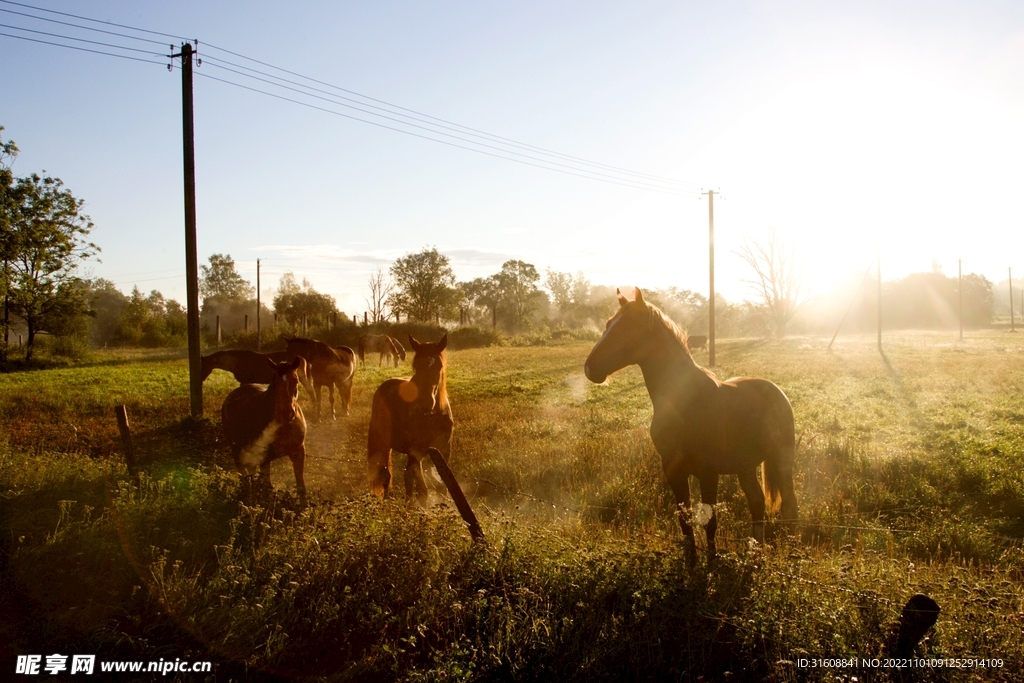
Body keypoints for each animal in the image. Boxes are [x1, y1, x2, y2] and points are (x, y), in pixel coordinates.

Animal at [221, 358, 307, 501]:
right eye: (275, 382)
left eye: (296, 380)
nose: (287, 413)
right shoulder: (265, 457)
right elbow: (267, 486)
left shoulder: (298, 452)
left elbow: (301, 487)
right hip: (237, 449)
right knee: (244, 475)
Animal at [366, 333, 450, 505]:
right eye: (416, 366)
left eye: (439, 366)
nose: (426, 403)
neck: (432, 417)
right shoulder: (416, 452)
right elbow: (423, 490)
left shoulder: (444, 451)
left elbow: (443, 488)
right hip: (386, 445)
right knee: (387, 475)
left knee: (406, 477)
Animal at [585, 286, 798, 557]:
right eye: (608, 324)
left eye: (628, 327)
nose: (590, 368)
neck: (685, 403)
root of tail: (777, 391)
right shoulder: (673, 469)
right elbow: (684, 520)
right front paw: (691, 559)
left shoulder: (708, 472)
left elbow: (710, 522)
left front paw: (711, 560)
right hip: (745, 465)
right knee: (757, 502)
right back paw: (755, 551)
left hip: (781, 460)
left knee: (790, 505)